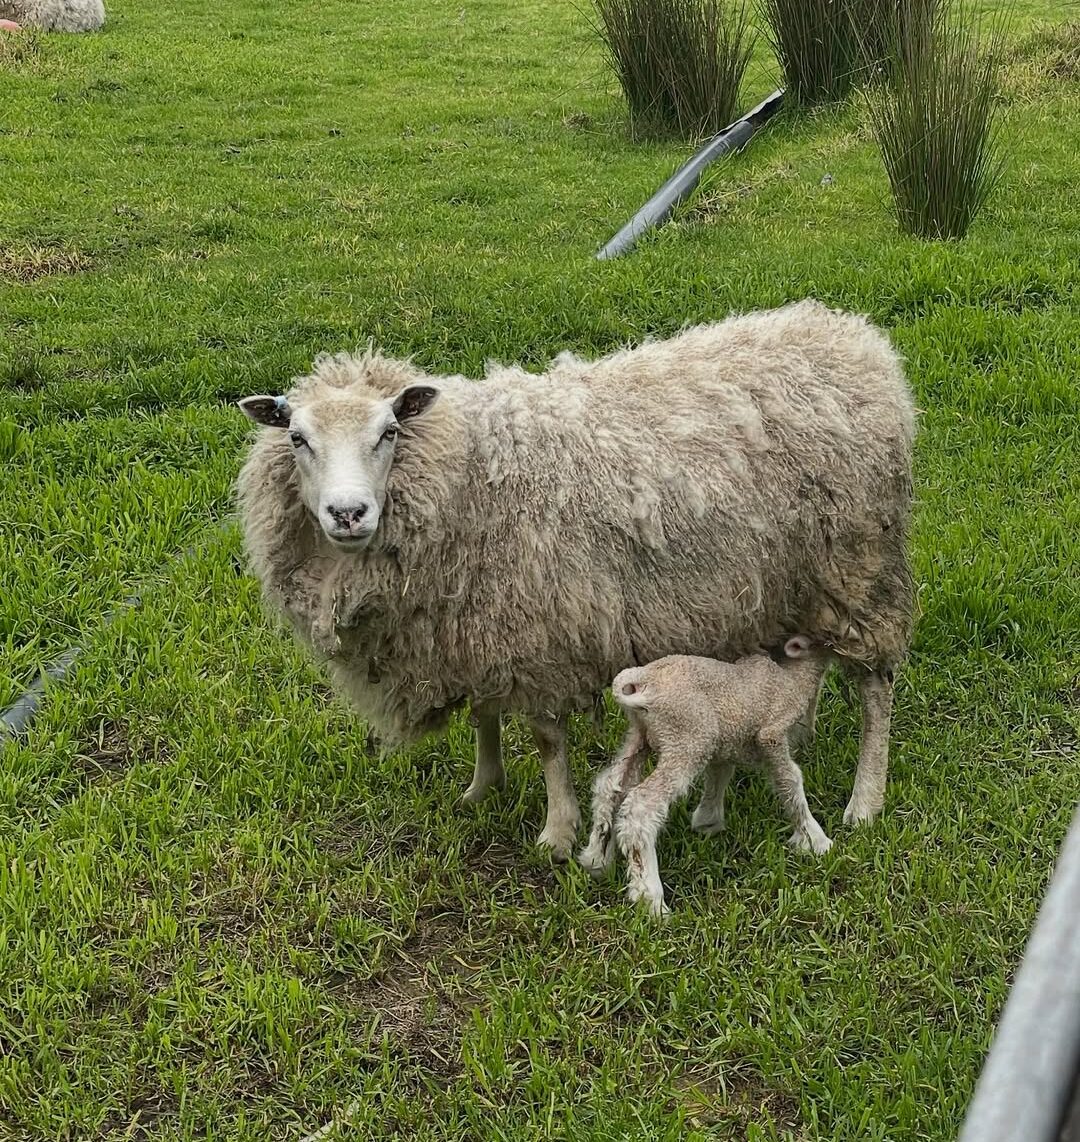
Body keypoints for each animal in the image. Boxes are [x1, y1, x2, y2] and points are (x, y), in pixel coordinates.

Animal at [235, 299, 915, 863]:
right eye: (297, 438)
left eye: (389, 433)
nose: (348, 513)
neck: (468, 469)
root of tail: (857, 339)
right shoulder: (478, 625)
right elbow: (484, 712)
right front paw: (482, 786)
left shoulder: (542, 632)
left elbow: (546, 740)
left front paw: (557, 834)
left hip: (860, 572)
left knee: (876, 686)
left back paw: (864, 800)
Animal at [579, 637, 834, 916]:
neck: (794, 675)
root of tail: (641, 680)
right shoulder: (772, 734)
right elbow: (791, 781)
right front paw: (815, 840)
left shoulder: (726, 741)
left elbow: (719, 774)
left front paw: (707, 821)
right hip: (687, 736)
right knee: (640, 807)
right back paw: (651, 900)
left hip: (642, 735)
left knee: (610, 787)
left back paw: (597, 859)